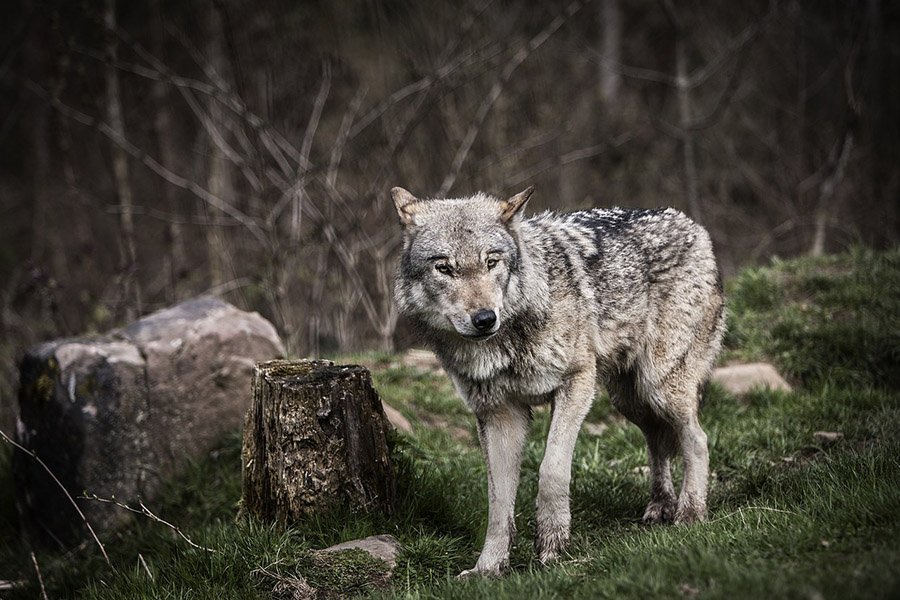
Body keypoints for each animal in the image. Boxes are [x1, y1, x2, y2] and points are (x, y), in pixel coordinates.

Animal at [390, 184, 728, 576]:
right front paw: (488, 567)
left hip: (659, 387)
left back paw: (690, 512)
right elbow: (497, 502)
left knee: (697, 439)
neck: (507, 341)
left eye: (492, 262)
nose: (485, 318)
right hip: (629, 400)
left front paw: (552, 546)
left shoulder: (576, 383)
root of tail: (692, 225)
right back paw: (661, 505)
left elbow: (551, 471)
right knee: (659, 439)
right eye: (444, 267)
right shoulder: (499, 415)